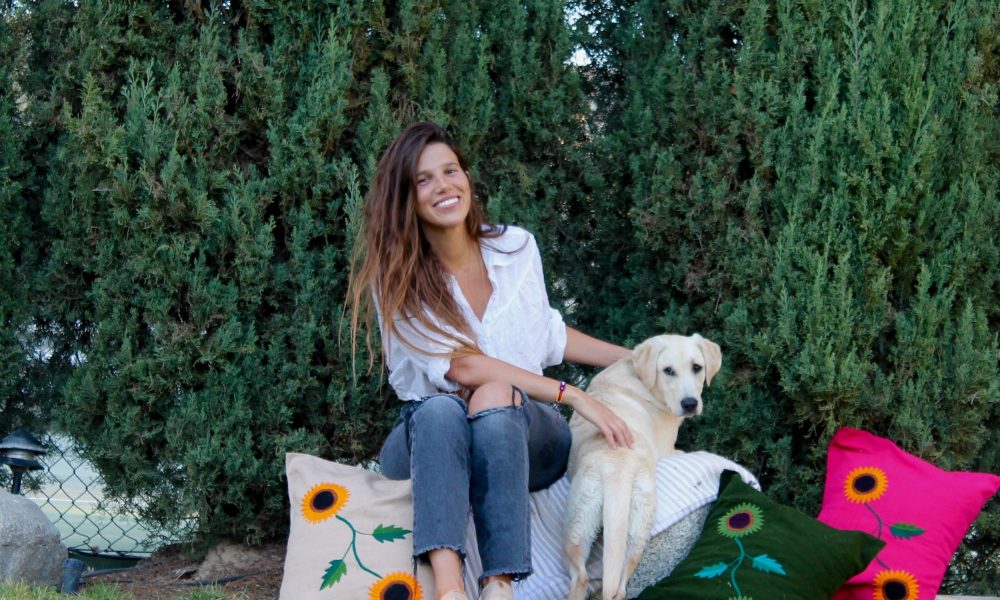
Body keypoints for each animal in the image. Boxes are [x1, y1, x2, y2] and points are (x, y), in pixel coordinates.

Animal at [562, 333, 721, 600]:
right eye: (668, 370)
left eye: (697, 368)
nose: (690, 404)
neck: (644, 382)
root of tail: (617, 468)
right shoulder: (667, 448)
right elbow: (678, 451)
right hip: (622, 527)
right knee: (614, 583)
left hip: (589, 525)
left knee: (587, 578)